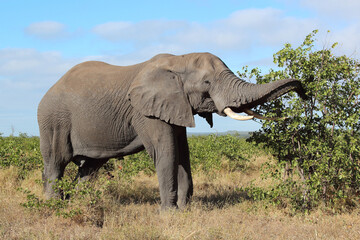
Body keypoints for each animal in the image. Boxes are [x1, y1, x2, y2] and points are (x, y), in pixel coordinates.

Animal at [37, 52, 306, 210]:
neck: (178, 60)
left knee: (90, 167)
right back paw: (53, 205)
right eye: (207, 83)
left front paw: (185, 209)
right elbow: (166, 151)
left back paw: (76, 202)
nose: (304, 91)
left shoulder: (177, 106)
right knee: (57, 162)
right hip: (53, 121)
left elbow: (183, 153)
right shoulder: (146, 112)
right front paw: (169, 212)